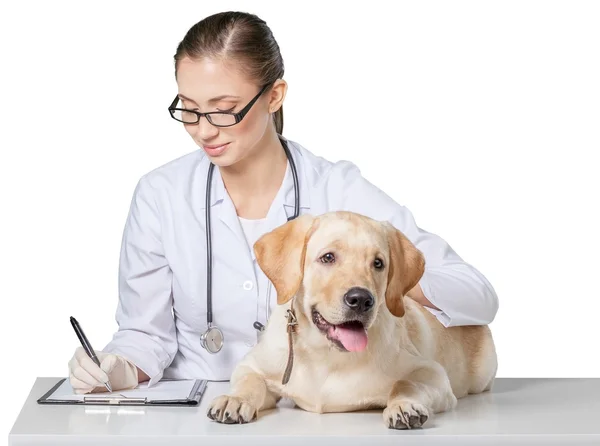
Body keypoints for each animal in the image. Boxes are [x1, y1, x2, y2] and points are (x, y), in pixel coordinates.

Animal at [206, 213, 496, 428]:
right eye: (328, 257)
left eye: (378, 263)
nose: (361, 299)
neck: (326, 354)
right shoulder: (252, 366)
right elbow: (249, 381)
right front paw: (234, 399)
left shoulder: (432, 373)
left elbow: (405, 383)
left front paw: (403, 405)